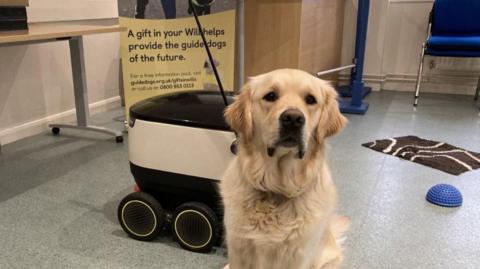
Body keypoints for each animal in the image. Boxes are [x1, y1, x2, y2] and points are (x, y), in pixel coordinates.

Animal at [220, 68, 348, 266]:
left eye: (311, 99)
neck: (277, 188)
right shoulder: (238, 248)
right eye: (270, 96)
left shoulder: (298, 257)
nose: (293, 118)